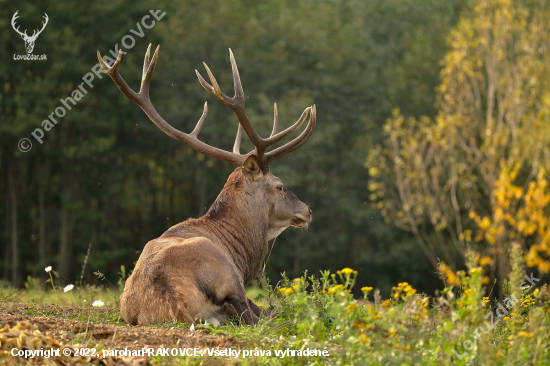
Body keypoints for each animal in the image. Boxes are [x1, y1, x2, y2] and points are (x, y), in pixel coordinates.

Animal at [97, 43, 316, 326]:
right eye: (279, 185)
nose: (307, 210)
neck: (240, 253)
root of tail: (175, 303)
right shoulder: (239, 283)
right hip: (225, 277)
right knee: (259, 316)